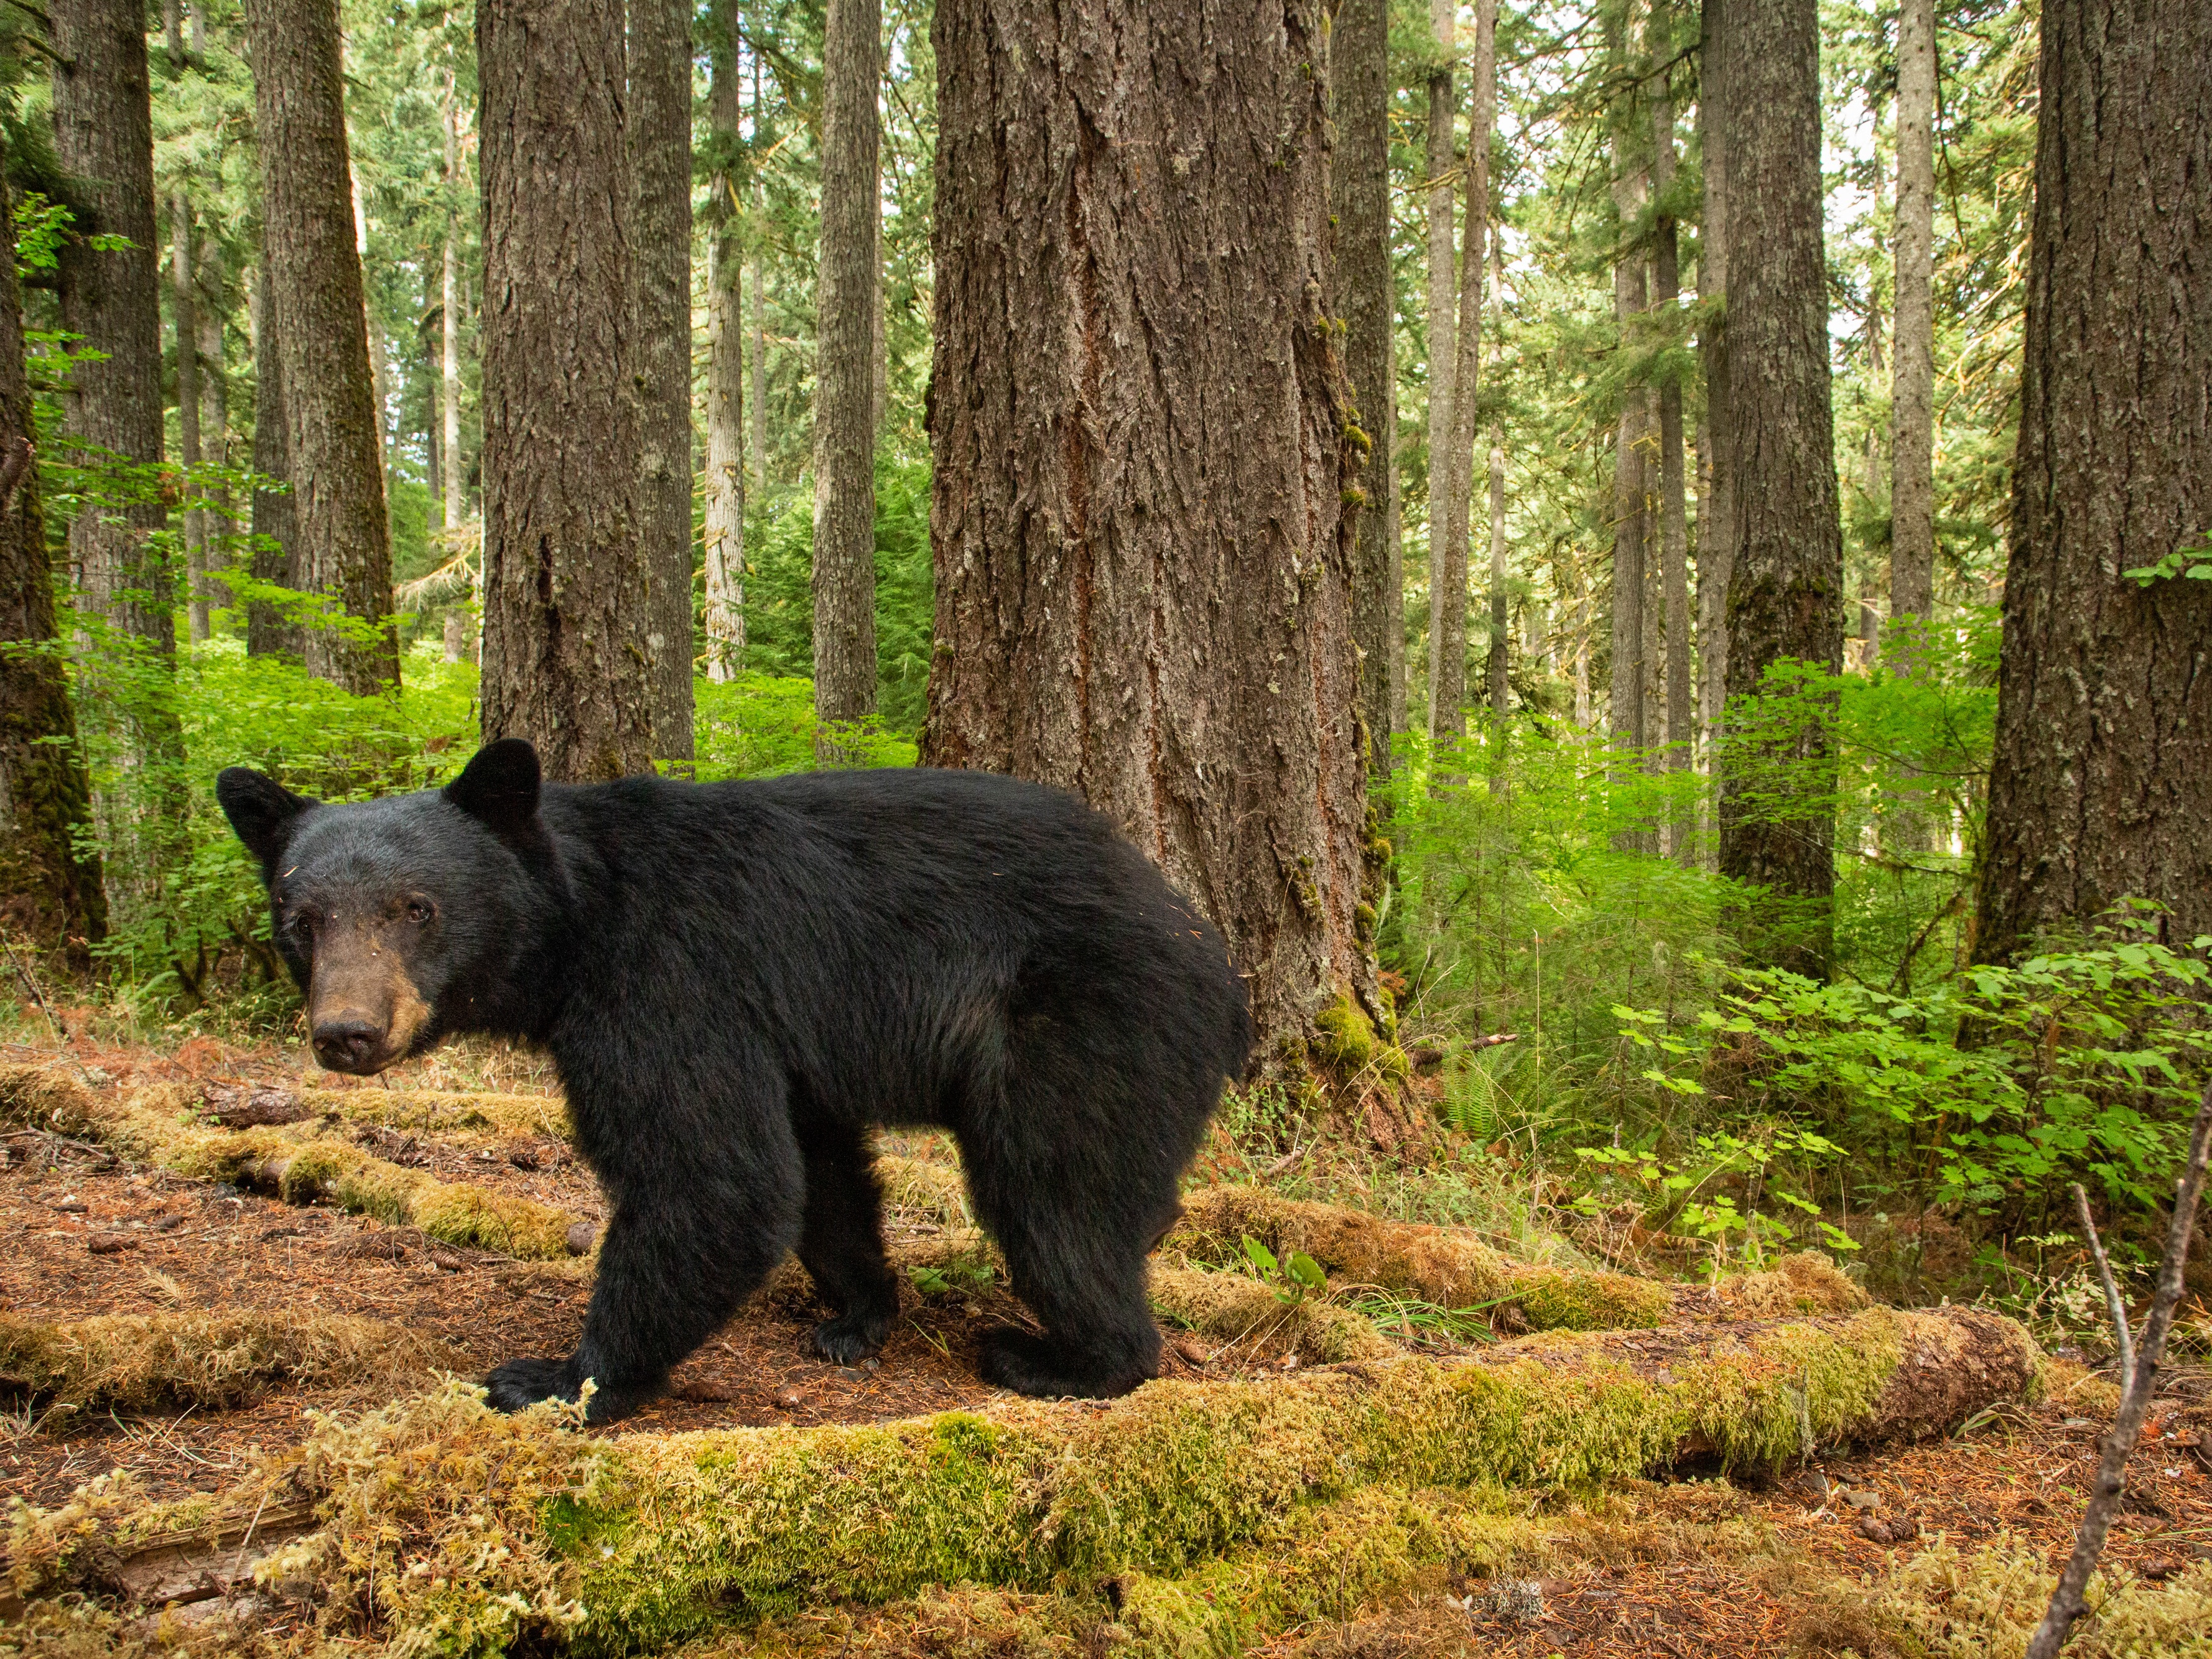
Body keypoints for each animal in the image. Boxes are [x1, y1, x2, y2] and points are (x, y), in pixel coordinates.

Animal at [215, 747, 1256, 1424]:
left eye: (415, 907)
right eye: (301, 917)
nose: (347, 1032)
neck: (579, 921)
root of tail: (1222, 965)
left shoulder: (672, 978)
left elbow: (711, 1176)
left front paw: (560, 1377)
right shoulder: (781, 1039)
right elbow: (817, 1168)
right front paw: (859, 1312)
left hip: (1085, 1024)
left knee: (1055, 1192)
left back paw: (1063, 1356)